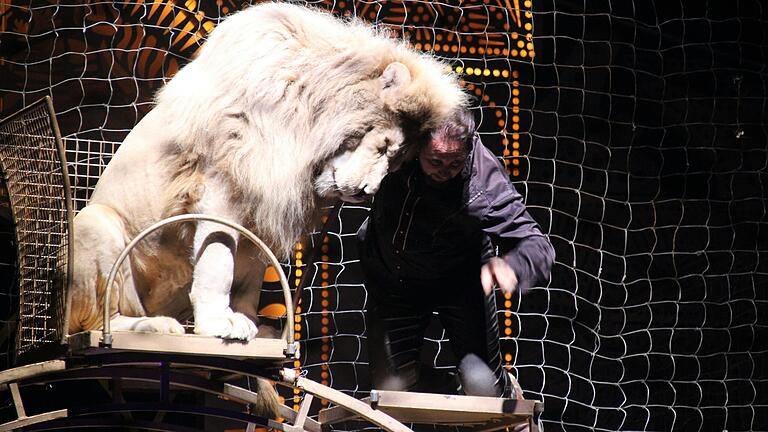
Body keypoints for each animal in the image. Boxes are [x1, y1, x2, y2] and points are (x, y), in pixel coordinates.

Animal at [69, 1, 464, 344]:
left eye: (396, 162)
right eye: (383, 146)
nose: (367, 192)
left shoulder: (262, 208)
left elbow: (249, 278)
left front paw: (254, 327)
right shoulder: (221, 190)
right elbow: (217, 265)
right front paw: (218, 323)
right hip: (93, 224)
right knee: (96, 322)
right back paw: (151, 326)